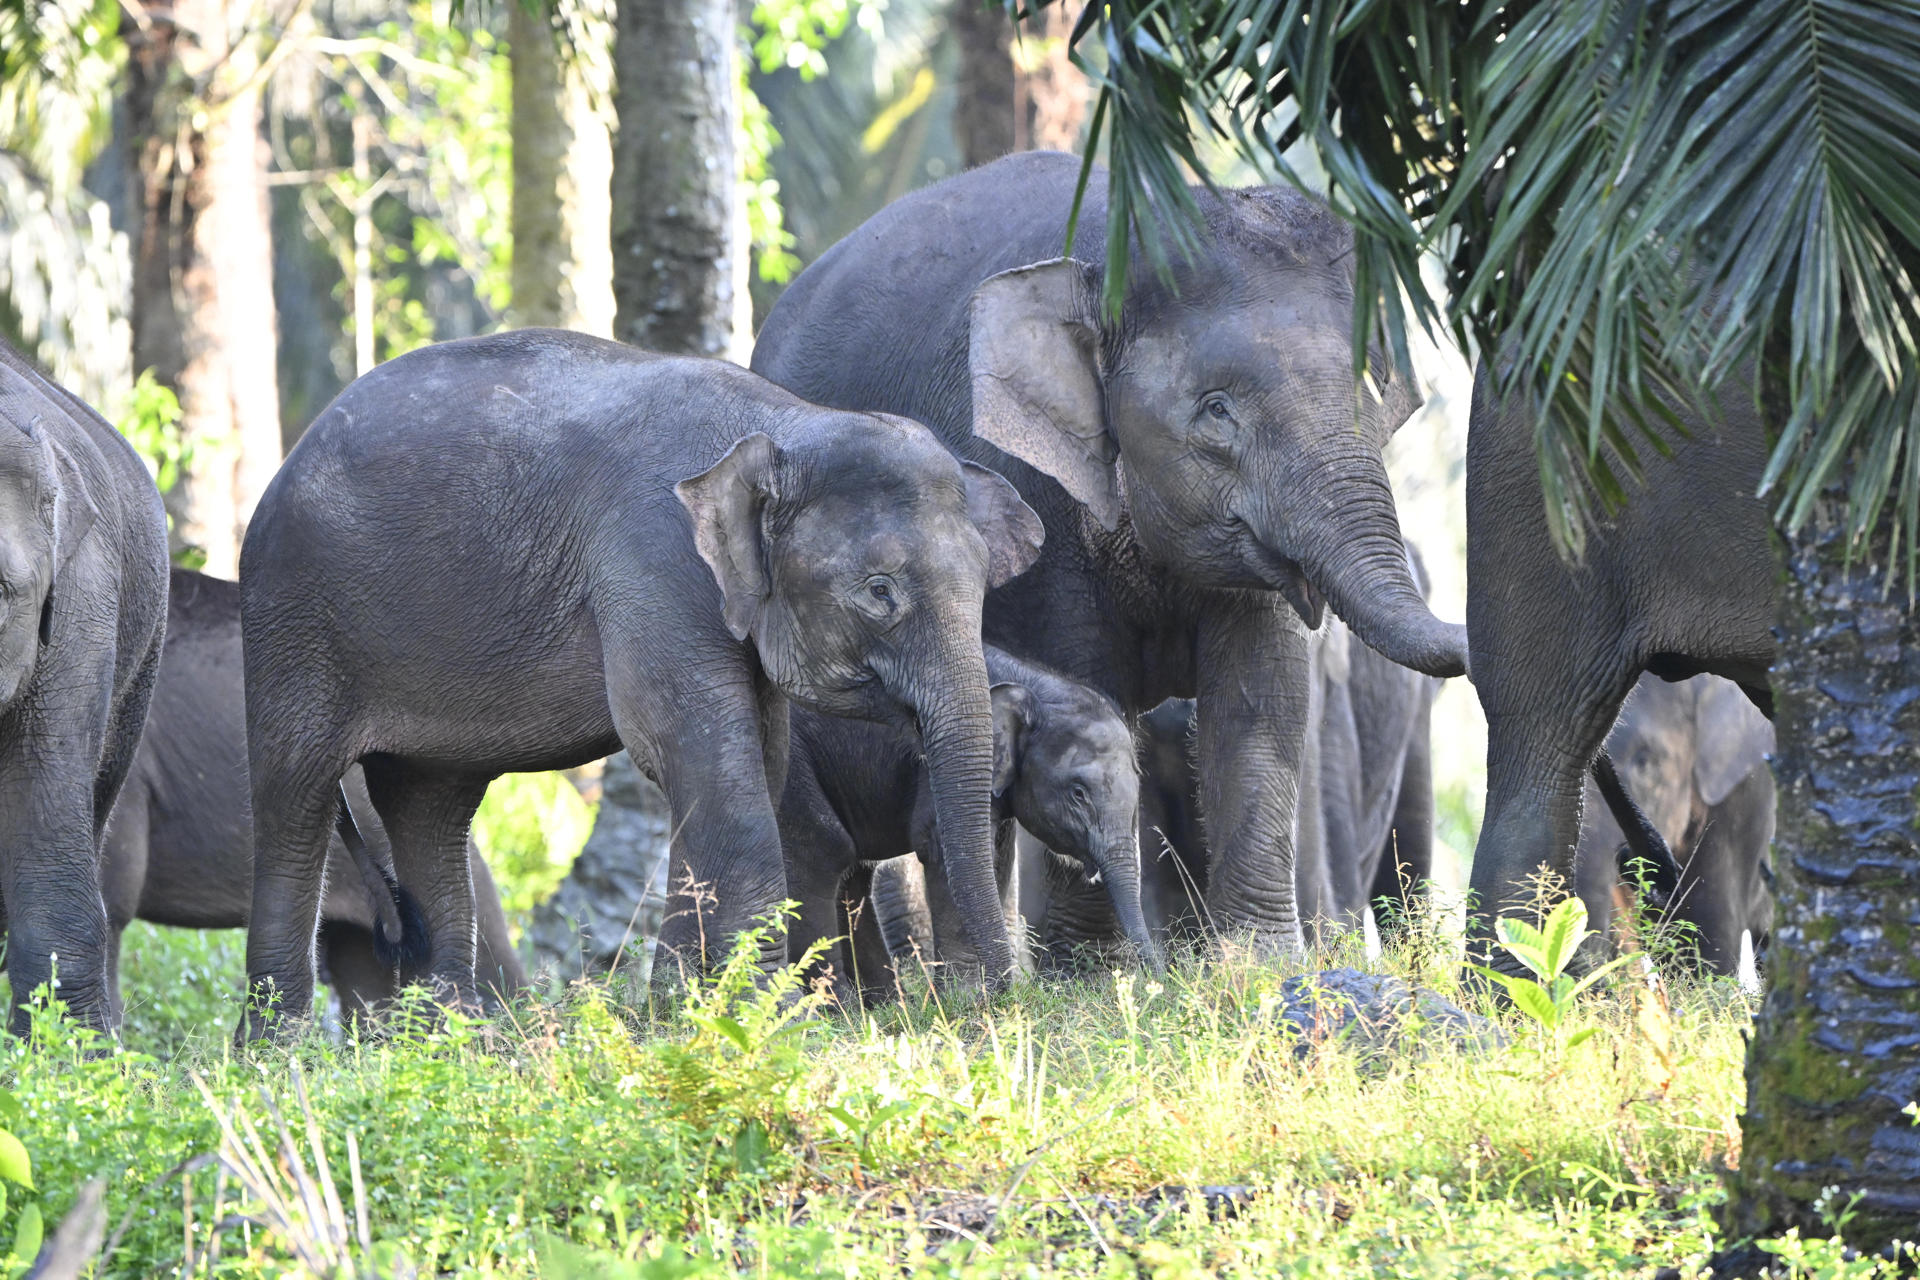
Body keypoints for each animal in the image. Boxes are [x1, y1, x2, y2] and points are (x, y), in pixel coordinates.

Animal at [237, 330, 1041, 1040]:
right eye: (879, 591)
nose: (991, 1001)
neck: (786, 424)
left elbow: (751, 755)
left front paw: (681, 1012)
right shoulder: (653, 558)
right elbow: (693, 749)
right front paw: (771, 1020)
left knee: (431, 808)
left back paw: (456, 1043)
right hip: (291, 619)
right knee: (296, 801)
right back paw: (280, 1054)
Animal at [753, 150, 1466, 956]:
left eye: (1370, 385)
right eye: (1217, 410)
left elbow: (1262, 699)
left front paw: (1257, 961)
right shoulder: (1027, 490)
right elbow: (1084, 675)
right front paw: (1093, 967)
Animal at [779, 644, 1157, 1000]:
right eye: (1078, 792)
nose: (1158, 980)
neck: (1034, 686)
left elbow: (995, 857)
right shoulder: (938, 772)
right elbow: (945, 853)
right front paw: (968, 999)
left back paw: (887, 1004)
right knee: (821, 856)